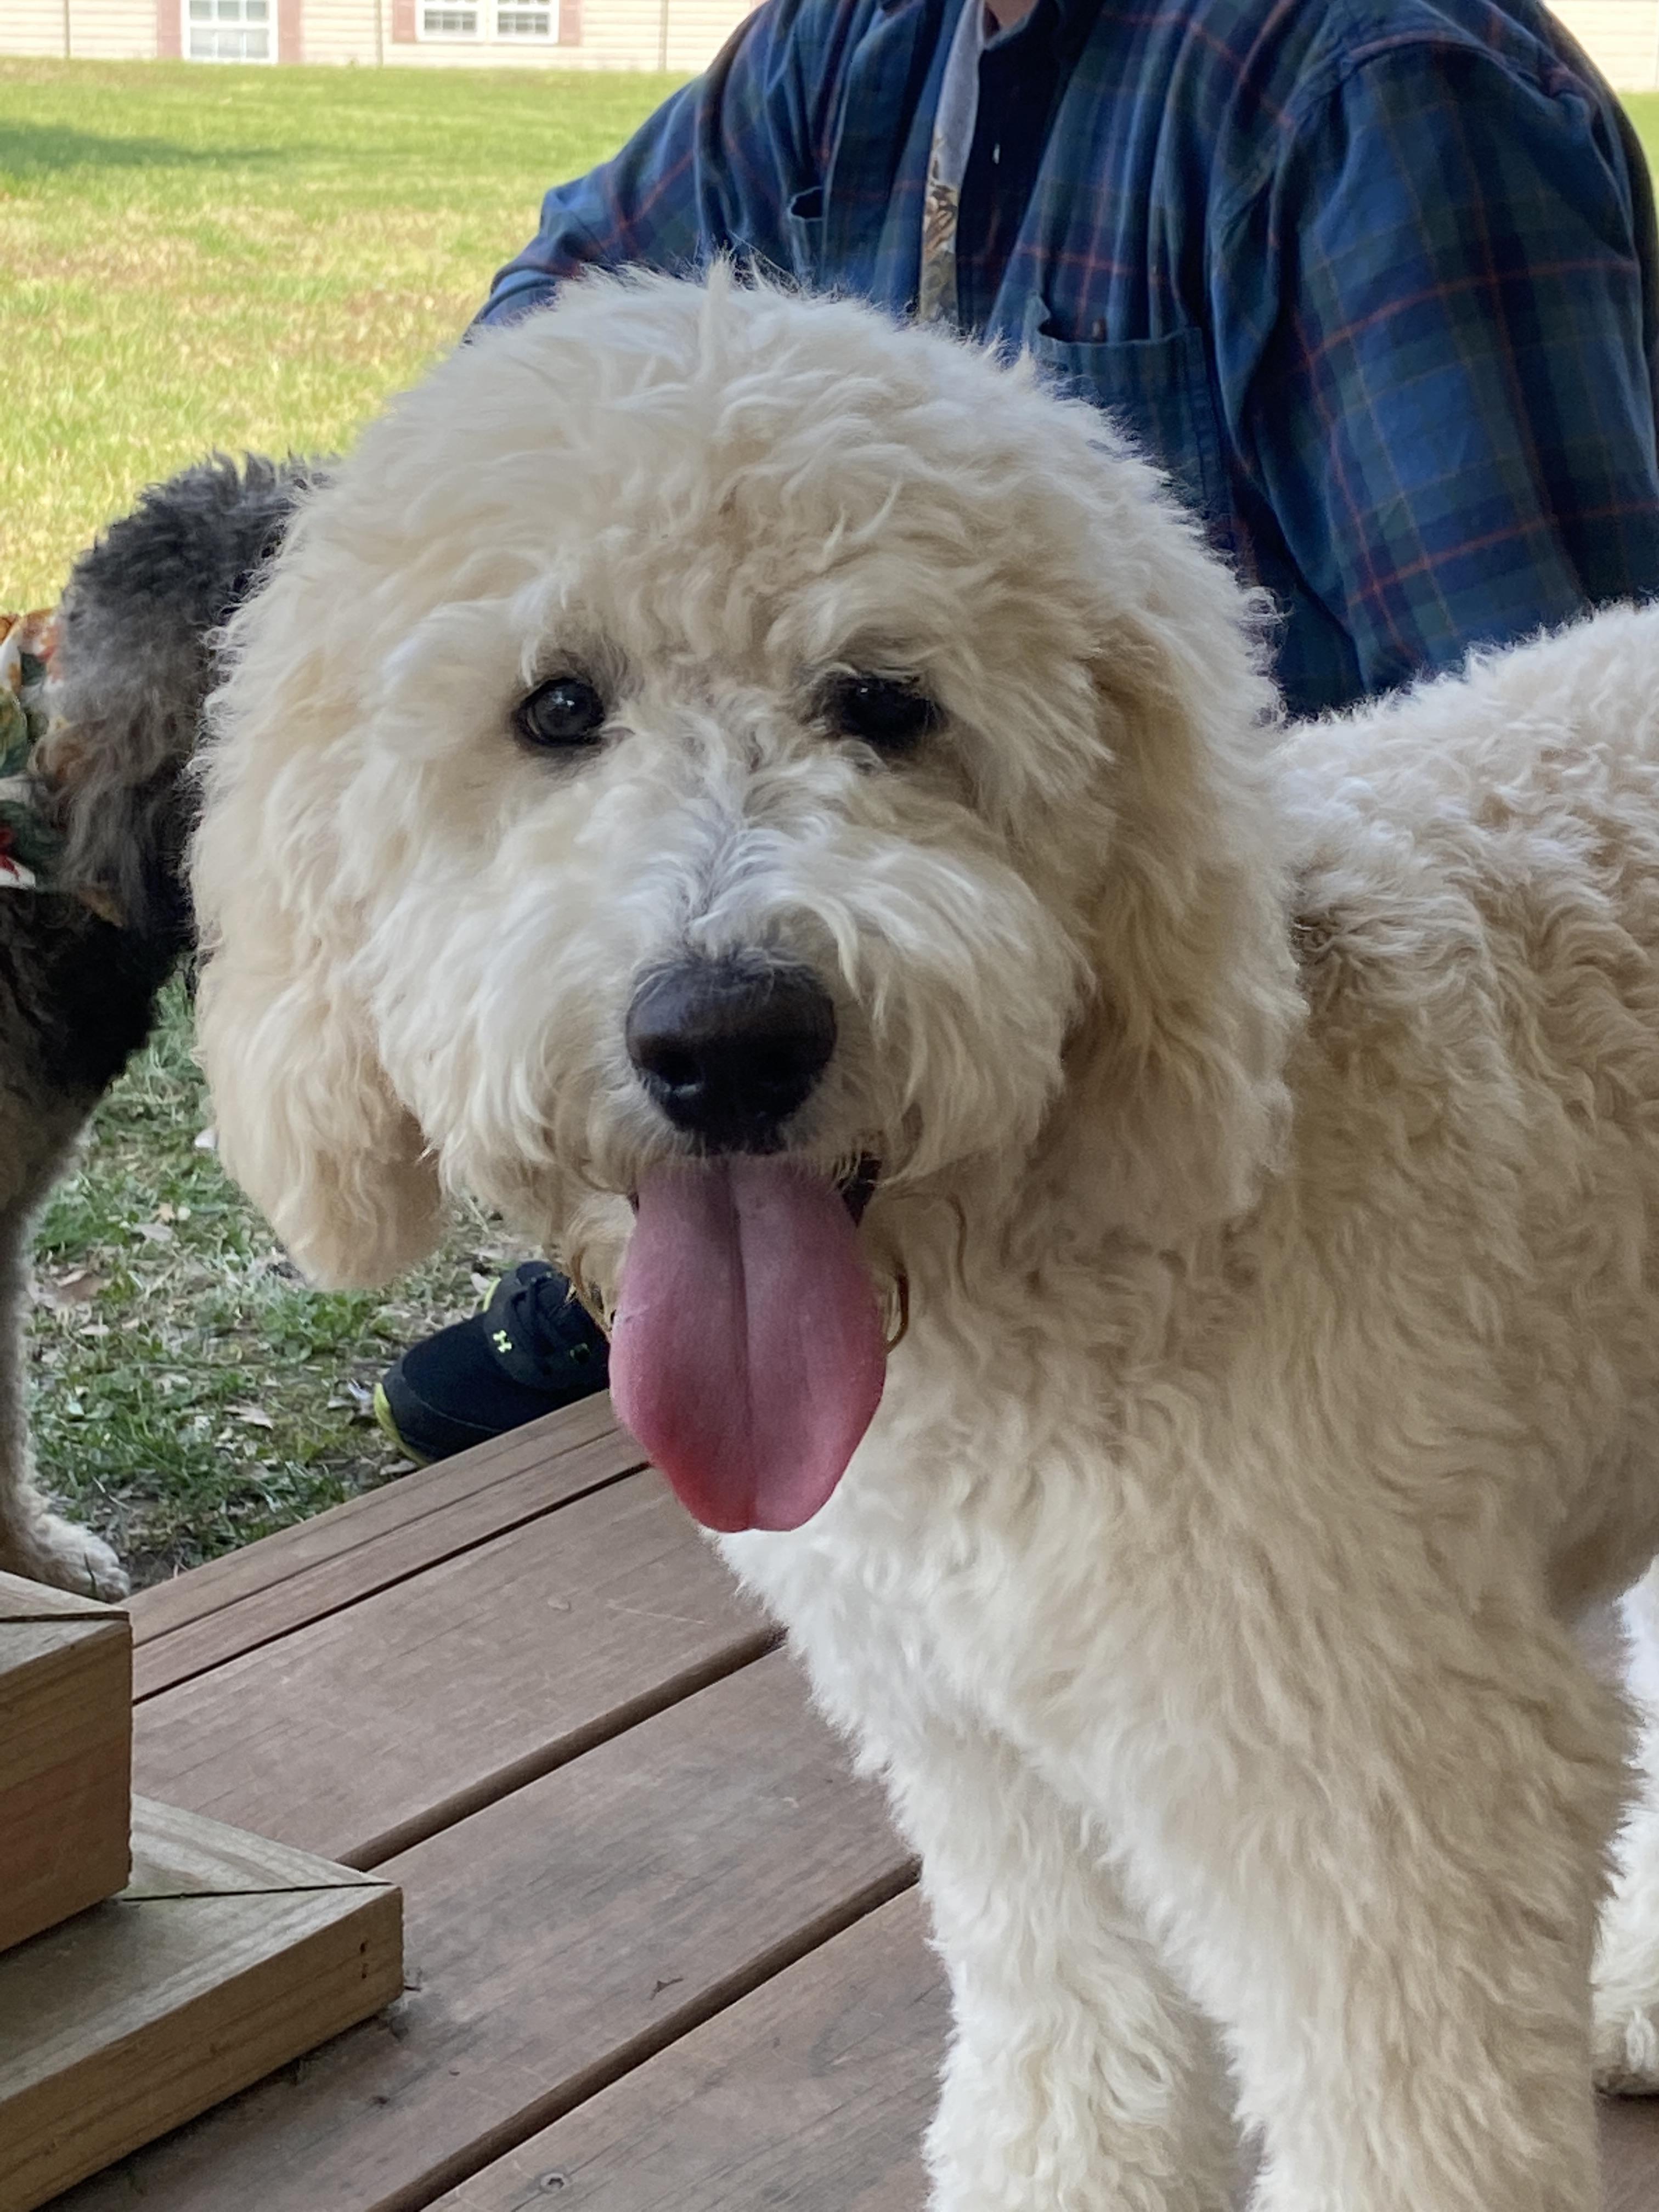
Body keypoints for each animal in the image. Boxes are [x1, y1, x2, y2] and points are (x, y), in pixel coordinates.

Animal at [191, 267, 1659, 2209]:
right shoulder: (982, 1750)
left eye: (886, 703)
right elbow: (1073, 2048)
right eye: (557, 706)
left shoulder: (1382, 1785)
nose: (728, 1039)